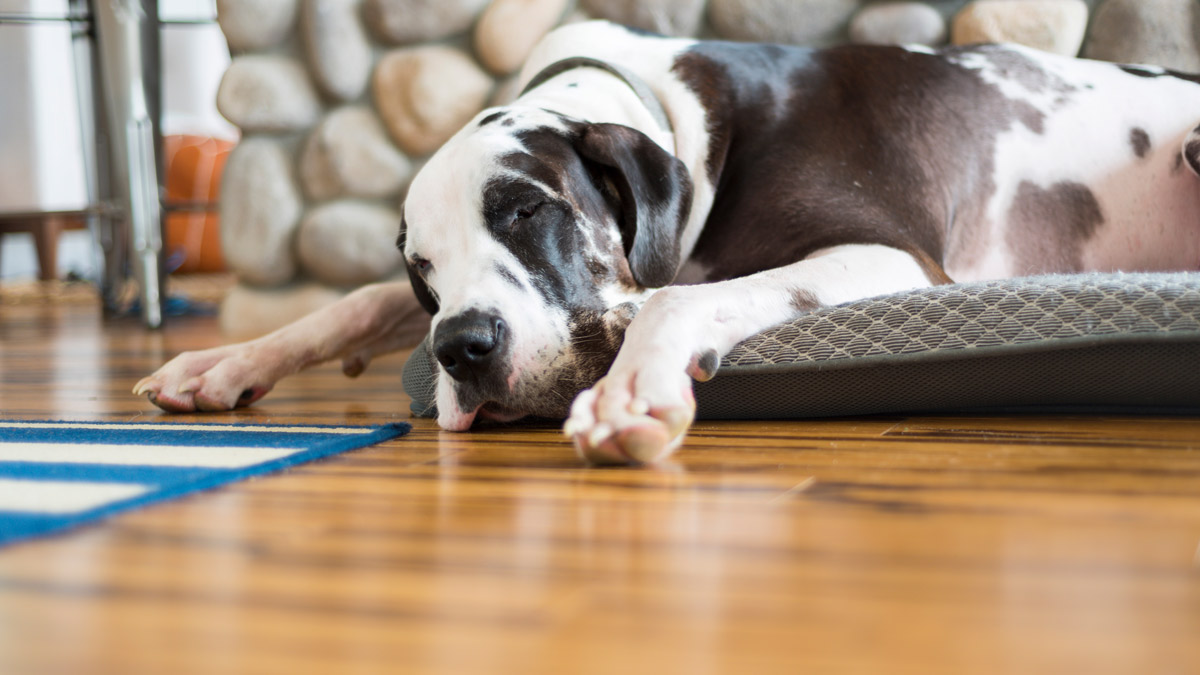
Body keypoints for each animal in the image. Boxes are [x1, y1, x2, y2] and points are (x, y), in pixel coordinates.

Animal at [136, 19, 1200, 461]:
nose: (461, 348)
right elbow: (350, 300)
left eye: (527, 210)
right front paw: (226, 363)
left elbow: (682, 292)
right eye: (423, 270)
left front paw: (631, 390)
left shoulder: (891, 254)